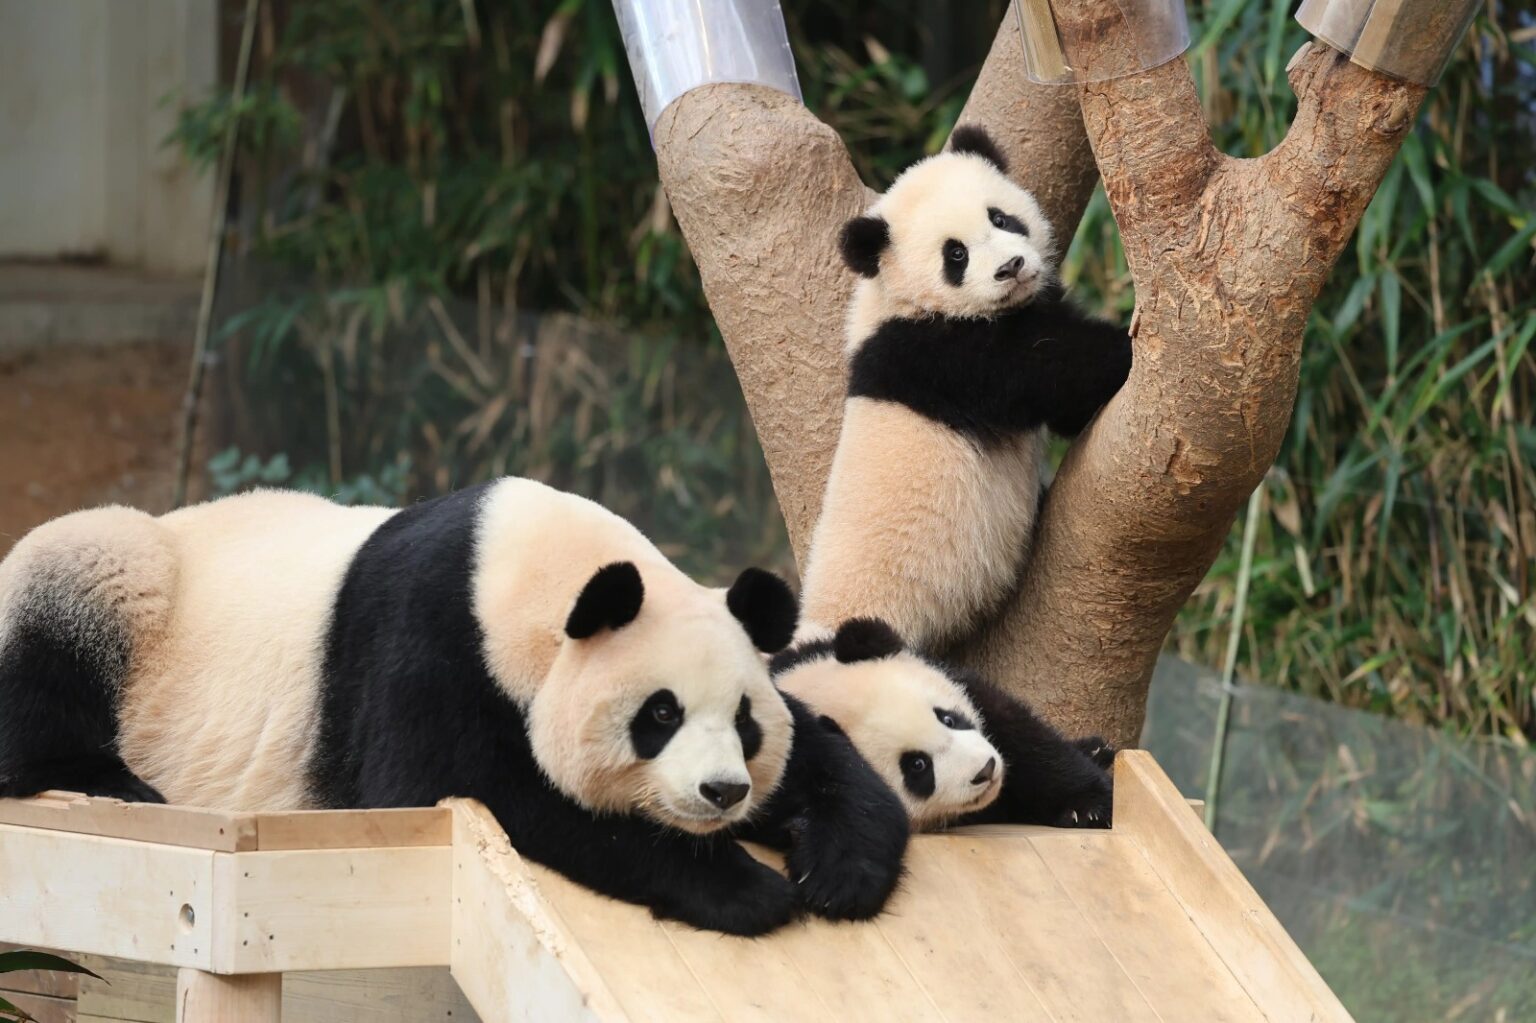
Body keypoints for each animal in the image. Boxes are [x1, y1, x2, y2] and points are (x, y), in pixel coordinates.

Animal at [0, 479, 908, 935]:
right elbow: (472, 787)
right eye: (659, 715)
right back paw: (110, 779)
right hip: (122, 582)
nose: (723, 792)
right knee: (70, 606)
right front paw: (747, 890)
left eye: (746, 722)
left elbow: (821, 753)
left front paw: (839, 867)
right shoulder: (425, 644)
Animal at [771, 619, 1114, 831]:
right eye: (917, 766)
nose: (986, 770)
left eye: (947, 718)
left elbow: (1028, 743)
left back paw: (1096, 749)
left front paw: (1087, 807)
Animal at [798, 125, 1134, 650]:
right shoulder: (937, 354)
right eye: (955, 254)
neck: (900, 300)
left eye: (1000, 217)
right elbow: (1050, 373)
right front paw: (1128, 348)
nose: (1011, 266)